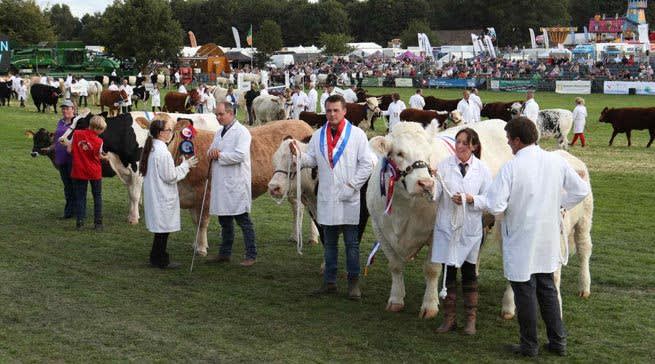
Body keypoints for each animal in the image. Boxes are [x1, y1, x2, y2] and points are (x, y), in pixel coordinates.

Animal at [168, 118, 314, 255]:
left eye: (170, 132)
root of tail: (302, 123)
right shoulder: (192, 197)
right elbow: (195, 222)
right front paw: (195, 244)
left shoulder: (205, 193)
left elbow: (202, 222)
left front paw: (201, 248)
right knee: (298, 207)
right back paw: (295, 236)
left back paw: (311, 237)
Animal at [366, 121, 516, 318]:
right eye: (399, 153)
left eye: (428, 155)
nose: (426, 184)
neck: (403, 208)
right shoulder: (380, 230)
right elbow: (395, 266)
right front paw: (396, 300)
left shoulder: (436, 232)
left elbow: (431, 269)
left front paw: (429, 305)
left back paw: (508, 307)